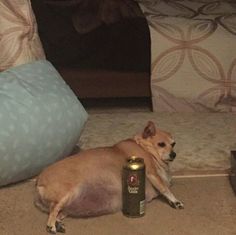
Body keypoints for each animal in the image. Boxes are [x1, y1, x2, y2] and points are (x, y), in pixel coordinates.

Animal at [34, 121, 183, 233]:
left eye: (173, 144)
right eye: (161, 144)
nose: (174, 154)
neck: (145, 148)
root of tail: (38, 183)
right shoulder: (152, 173)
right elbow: (165, 189)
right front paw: (175, 201)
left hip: (67, 205)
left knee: (57, 213)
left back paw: (58, 224)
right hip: (68, 193)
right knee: (53, 210)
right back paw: (51, 226)